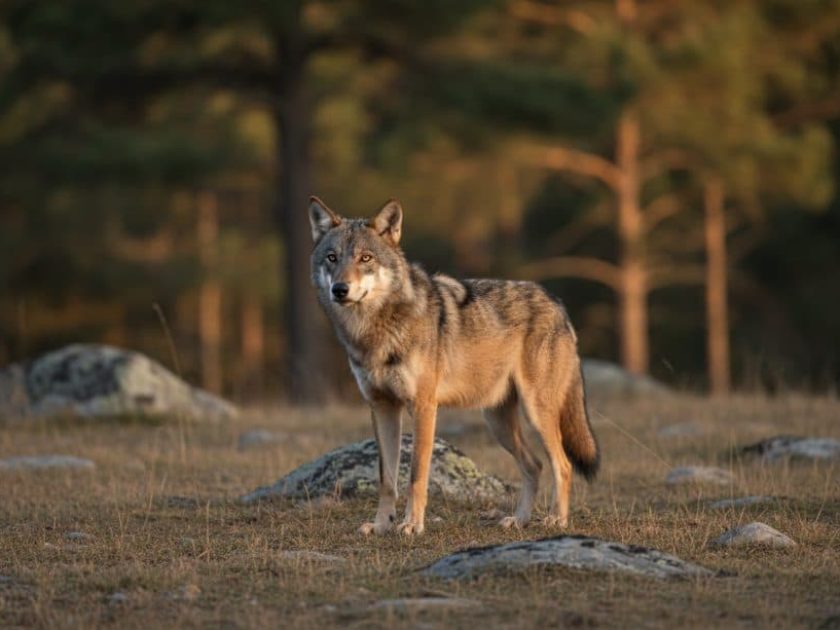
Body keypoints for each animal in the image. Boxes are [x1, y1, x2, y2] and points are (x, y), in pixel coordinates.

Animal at [308, 196, 599, 536]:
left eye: (365, 258)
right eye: (332, 258)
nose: (340, 289)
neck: (373, 332)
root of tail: (557, 303)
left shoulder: (423, 406)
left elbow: (416, 474)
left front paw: (412, 525)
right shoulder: (381, 407)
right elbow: (387, 479)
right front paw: (381, 526)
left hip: (536, 412)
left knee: (562, 464)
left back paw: (557, 520)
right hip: (498, 423)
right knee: (534, 465)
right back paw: (519, 520)